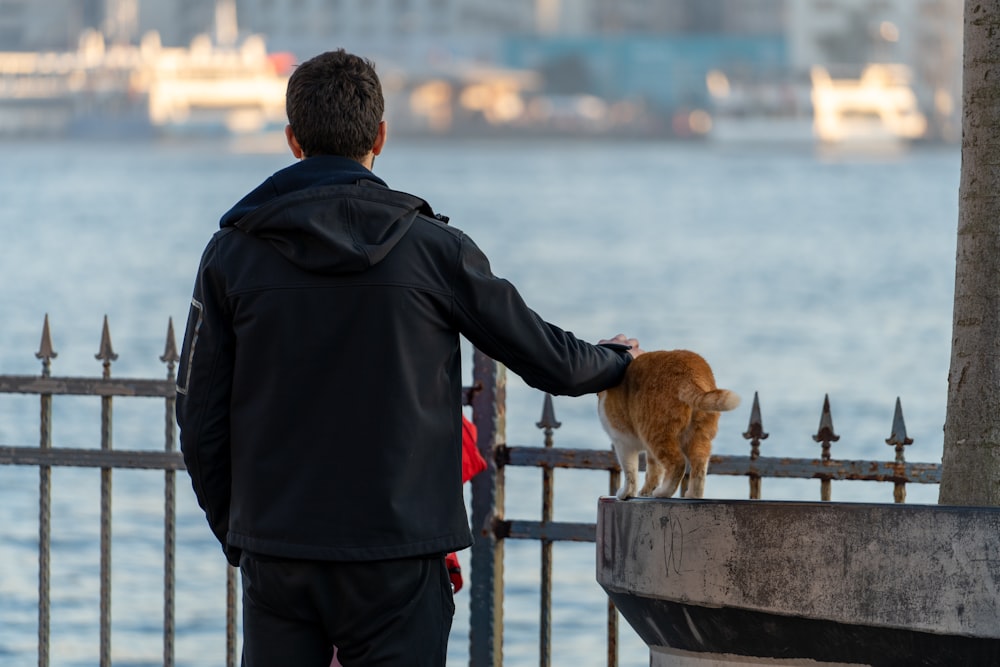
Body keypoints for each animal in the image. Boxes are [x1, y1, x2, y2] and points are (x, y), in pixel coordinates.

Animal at [596, 352, 740, 498]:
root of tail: (692, 372)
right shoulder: (647, 452)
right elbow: (653, 470)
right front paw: (647, 491)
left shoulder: (622, 442)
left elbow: (630, 473)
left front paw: (626, 493)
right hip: (698, 435)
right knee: (699, 464)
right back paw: (692, 494)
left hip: (655, 433)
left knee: (678, 463)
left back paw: (662, 492)